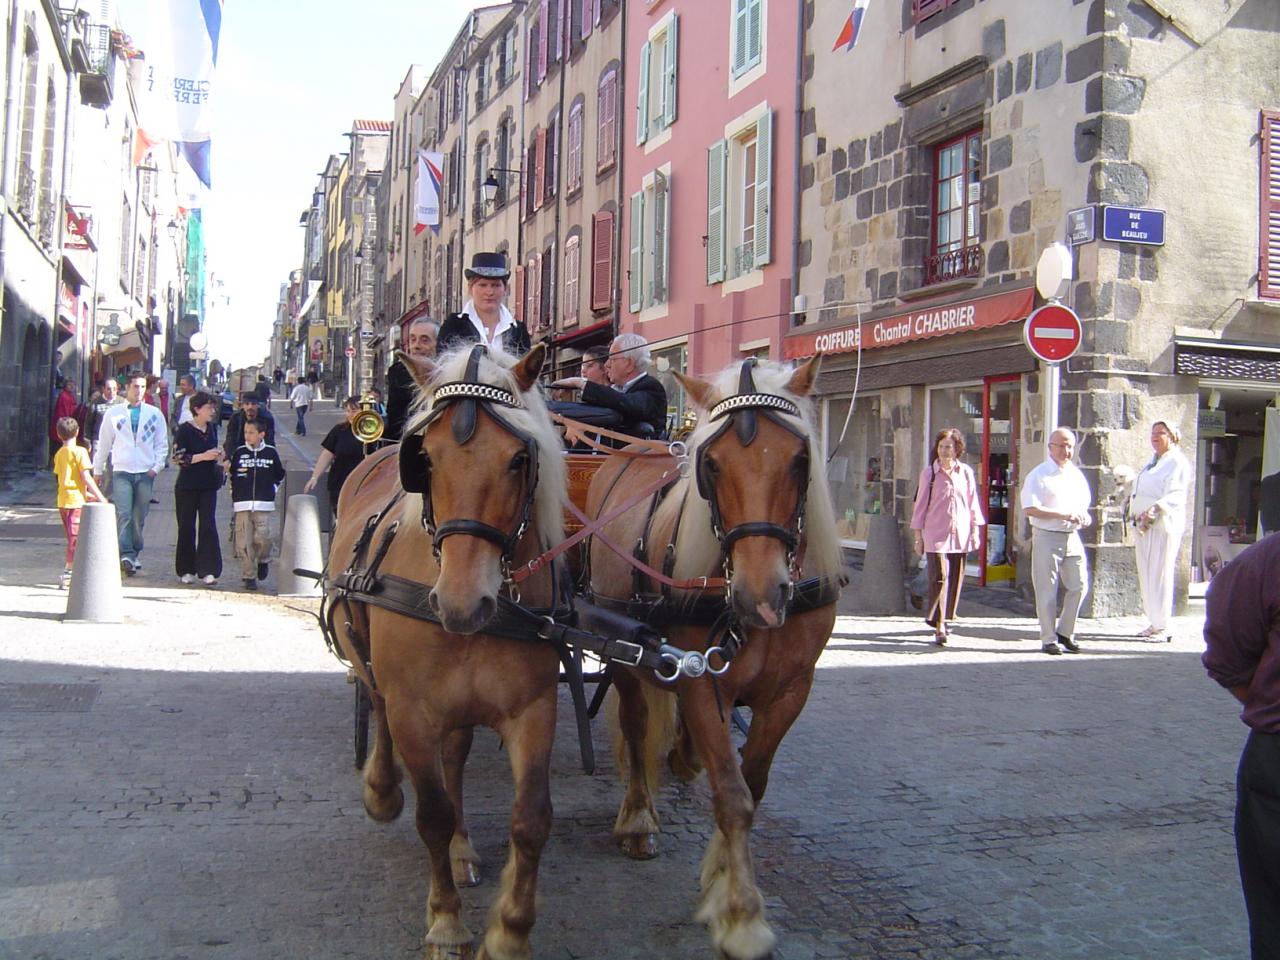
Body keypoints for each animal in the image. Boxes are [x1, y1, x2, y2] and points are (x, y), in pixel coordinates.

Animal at [327, 345, 568, 960]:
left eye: (518, 460)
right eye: (426, 459)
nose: (462, 603)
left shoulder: (534, 711)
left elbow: (532, 818)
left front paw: (510, 931)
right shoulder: (414, 710)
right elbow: (431, 813)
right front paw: (445, 922)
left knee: (455, 757)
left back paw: (461, 850)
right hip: (370, 660)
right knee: (376, 702)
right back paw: (383, 790)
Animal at [586, 355, 844, 960]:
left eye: (800, 460)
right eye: (712, 464)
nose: (760, 596)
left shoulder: (791, 691)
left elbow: (753, 784)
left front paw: (721, 874)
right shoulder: (703, 683)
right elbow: (732, 795)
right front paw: (741, 914)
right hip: (623, 651)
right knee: (635, 726)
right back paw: (638, 818)